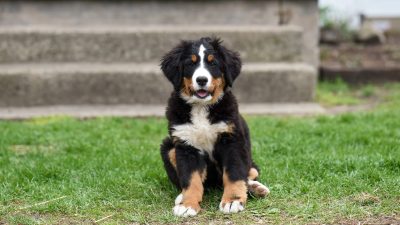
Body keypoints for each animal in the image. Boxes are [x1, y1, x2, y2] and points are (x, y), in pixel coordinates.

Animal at [159, 37, 268, 218]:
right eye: (190, 63)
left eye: (213, 63)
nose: (202, 80)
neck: (201, 107)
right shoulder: (186, 145)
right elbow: (191, 179)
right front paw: (188, 204)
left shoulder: (231, 141)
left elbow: (234, 174)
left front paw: (232, 201)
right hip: (168, 148)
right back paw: (181, 196)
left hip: (249, 158)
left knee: (250, 173)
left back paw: (255, 188)